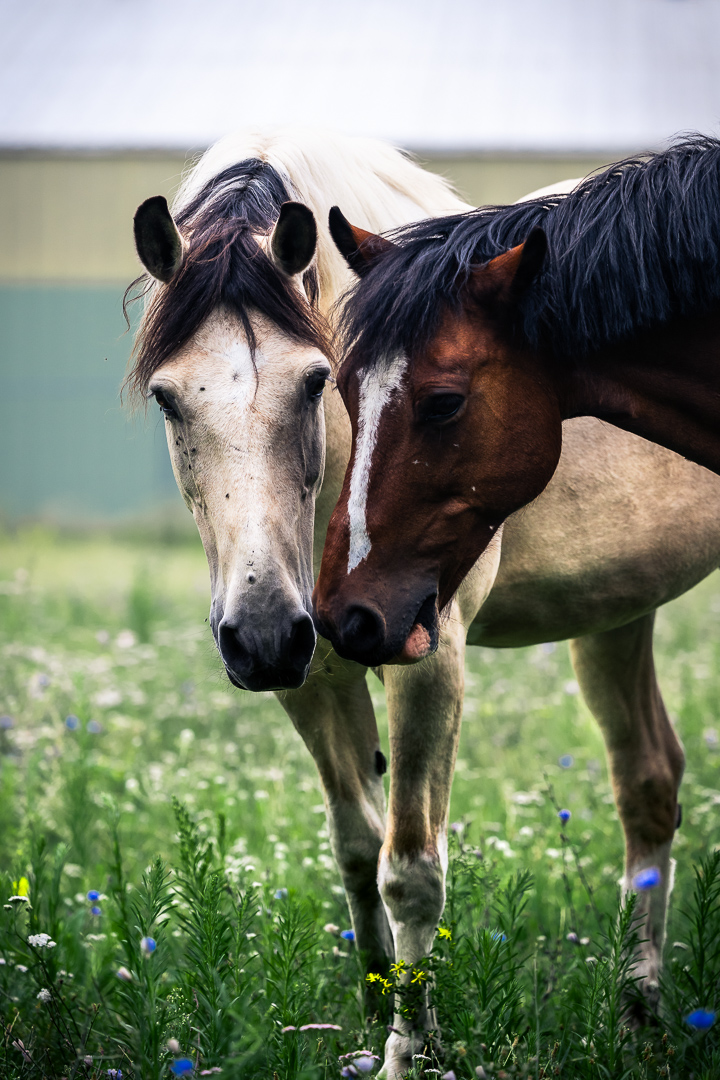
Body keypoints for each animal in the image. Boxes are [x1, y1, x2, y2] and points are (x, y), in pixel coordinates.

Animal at [128, 130, 717, 1078]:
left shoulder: (424, 655)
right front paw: (377, 1023)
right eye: (168, 397)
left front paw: (409, 1053)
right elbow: (356, 848)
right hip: (619, 607)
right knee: (648, 782)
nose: (262, 636)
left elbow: (410, 868)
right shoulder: (312, 673)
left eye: (312, 382)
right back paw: (636, 1014)